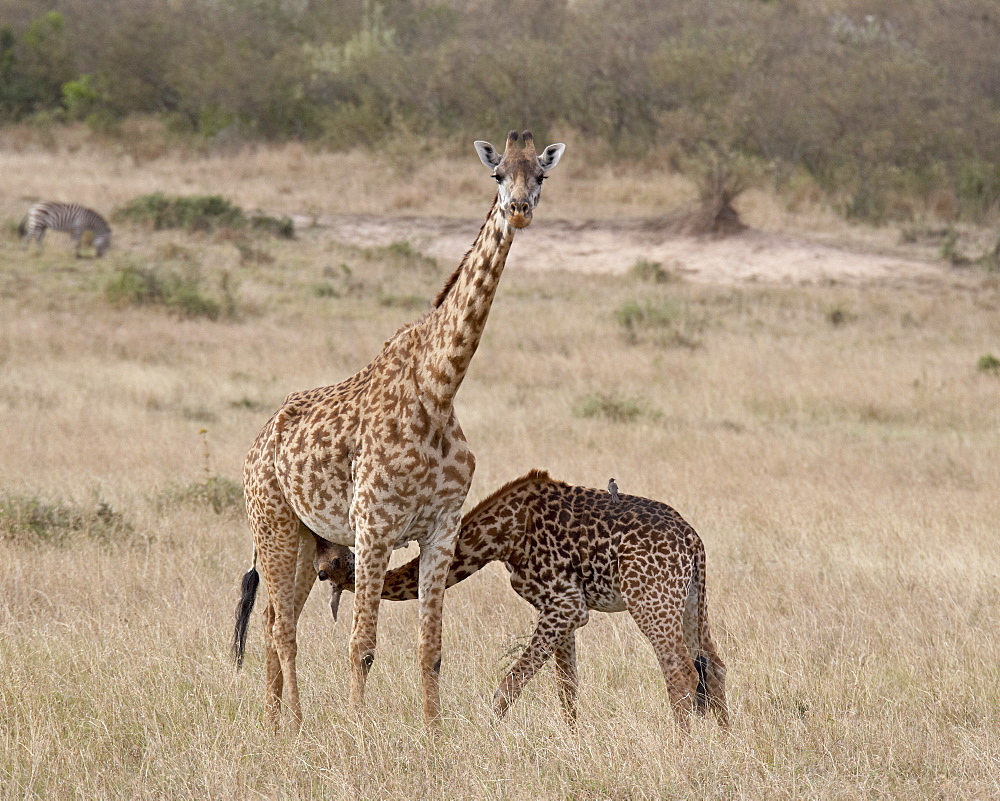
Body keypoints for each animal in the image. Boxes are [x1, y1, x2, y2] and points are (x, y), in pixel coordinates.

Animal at [230, 126, 568, 732]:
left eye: (541, 175)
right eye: (496, 174)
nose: (520, 210)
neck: (438, 389)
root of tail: (258, 441)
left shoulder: (440, 529)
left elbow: (430, 648)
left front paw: (434, 736)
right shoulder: (374, 527)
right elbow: (361, 645)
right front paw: (356, 734)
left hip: (306, 537)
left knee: (272, 622)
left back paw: (274, 722)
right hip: (272, 524)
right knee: (283, 629)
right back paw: (296, 726)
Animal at [316, 468, 732, 732]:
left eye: (329, 564)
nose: (319, 573)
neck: (502, 534)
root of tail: (693, 541)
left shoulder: (565, 604)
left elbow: (507, 687)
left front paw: (489, 737)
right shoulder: (564, 610)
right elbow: (567, 689)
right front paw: (572, 744)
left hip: (650, 599)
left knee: (681, 671)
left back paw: (682, 748)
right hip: (690, 599)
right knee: (713, 665)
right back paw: (723, 745)